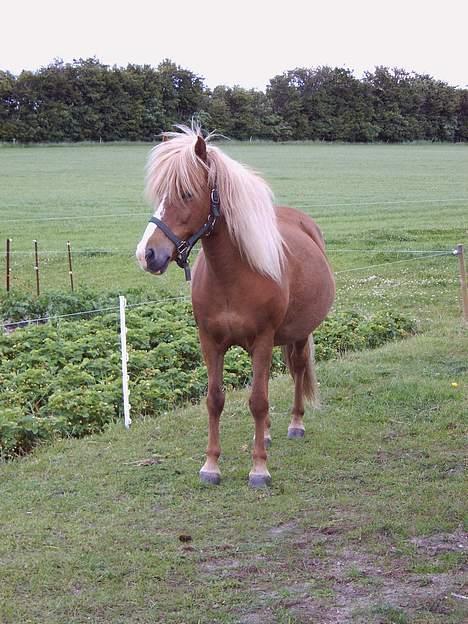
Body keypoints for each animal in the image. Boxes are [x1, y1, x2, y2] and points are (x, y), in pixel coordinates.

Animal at [136, 127, 336, 488]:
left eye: (186, 193)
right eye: (158, 194)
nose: (147, 254)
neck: (233, 275)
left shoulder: (262, 341)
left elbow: (257, 401)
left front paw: (259, 468)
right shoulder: (211, 343)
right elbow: (216, 400)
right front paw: (211, 465)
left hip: (299, 335)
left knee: (298, 370)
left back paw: (295, 424)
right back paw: (266, 434)